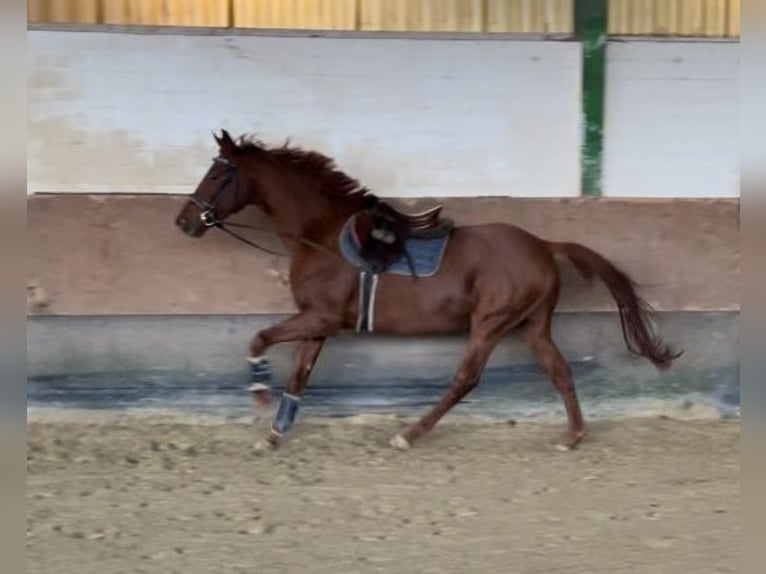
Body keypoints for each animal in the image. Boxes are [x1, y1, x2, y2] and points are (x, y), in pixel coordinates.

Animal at [177, 130, 680, 454]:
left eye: (217, 175)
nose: (184, 221)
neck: (322, 234)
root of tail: (543, 244)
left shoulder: (320, 318)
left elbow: (258, 339)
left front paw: (260, 396)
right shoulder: (319, 324)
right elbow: (299, 376)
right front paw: (275, 433)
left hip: (490, 323)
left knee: (466, 379)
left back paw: (409, 434)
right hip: (532, 326)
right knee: (559, 371)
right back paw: (573, 436)